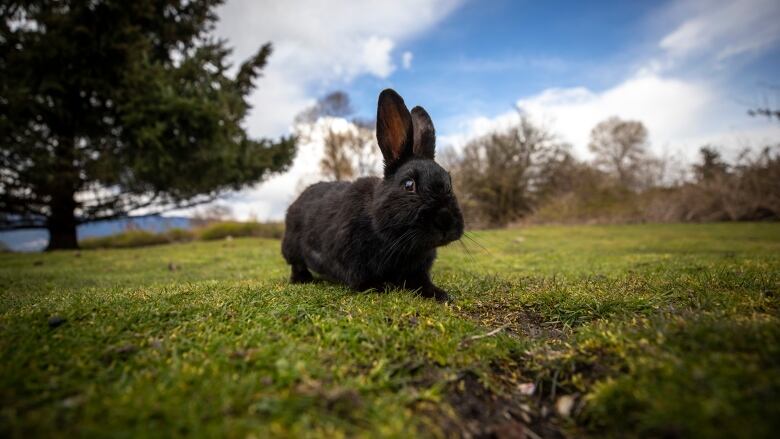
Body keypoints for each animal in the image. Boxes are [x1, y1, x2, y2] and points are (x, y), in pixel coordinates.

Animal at [282, 89, 460, 302]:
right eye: (409, 185)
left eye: (449, 183)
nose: (445, 220)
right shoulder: (352, 261)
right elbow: (363, 282)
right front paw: (382, 287)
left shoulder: (417, 271)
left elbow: (421, 283)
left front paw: (440, 295)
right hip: (292, 248)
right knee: (296, 265)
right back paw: (301, 280)